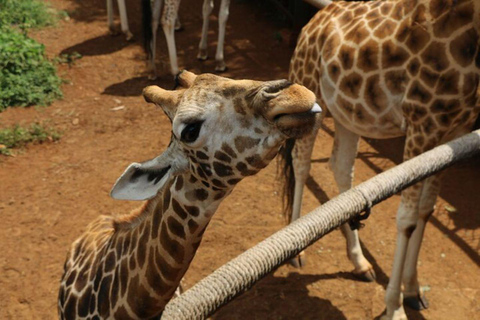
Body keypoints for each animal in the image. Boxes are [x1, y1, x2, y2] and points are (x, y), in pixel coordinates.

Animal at [284, 0, 480, 320]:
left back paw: (360, 262)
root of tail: (310, 24)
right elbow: (407, 220)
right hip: (311, 95)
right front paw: (395, 307)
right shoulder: (423, 124)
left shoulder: (453, 132)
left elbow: (426, 210)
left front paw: (413, 290)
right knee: (301, 163)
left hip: (348, 114)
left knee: (341, 168)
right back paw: (298, 251)